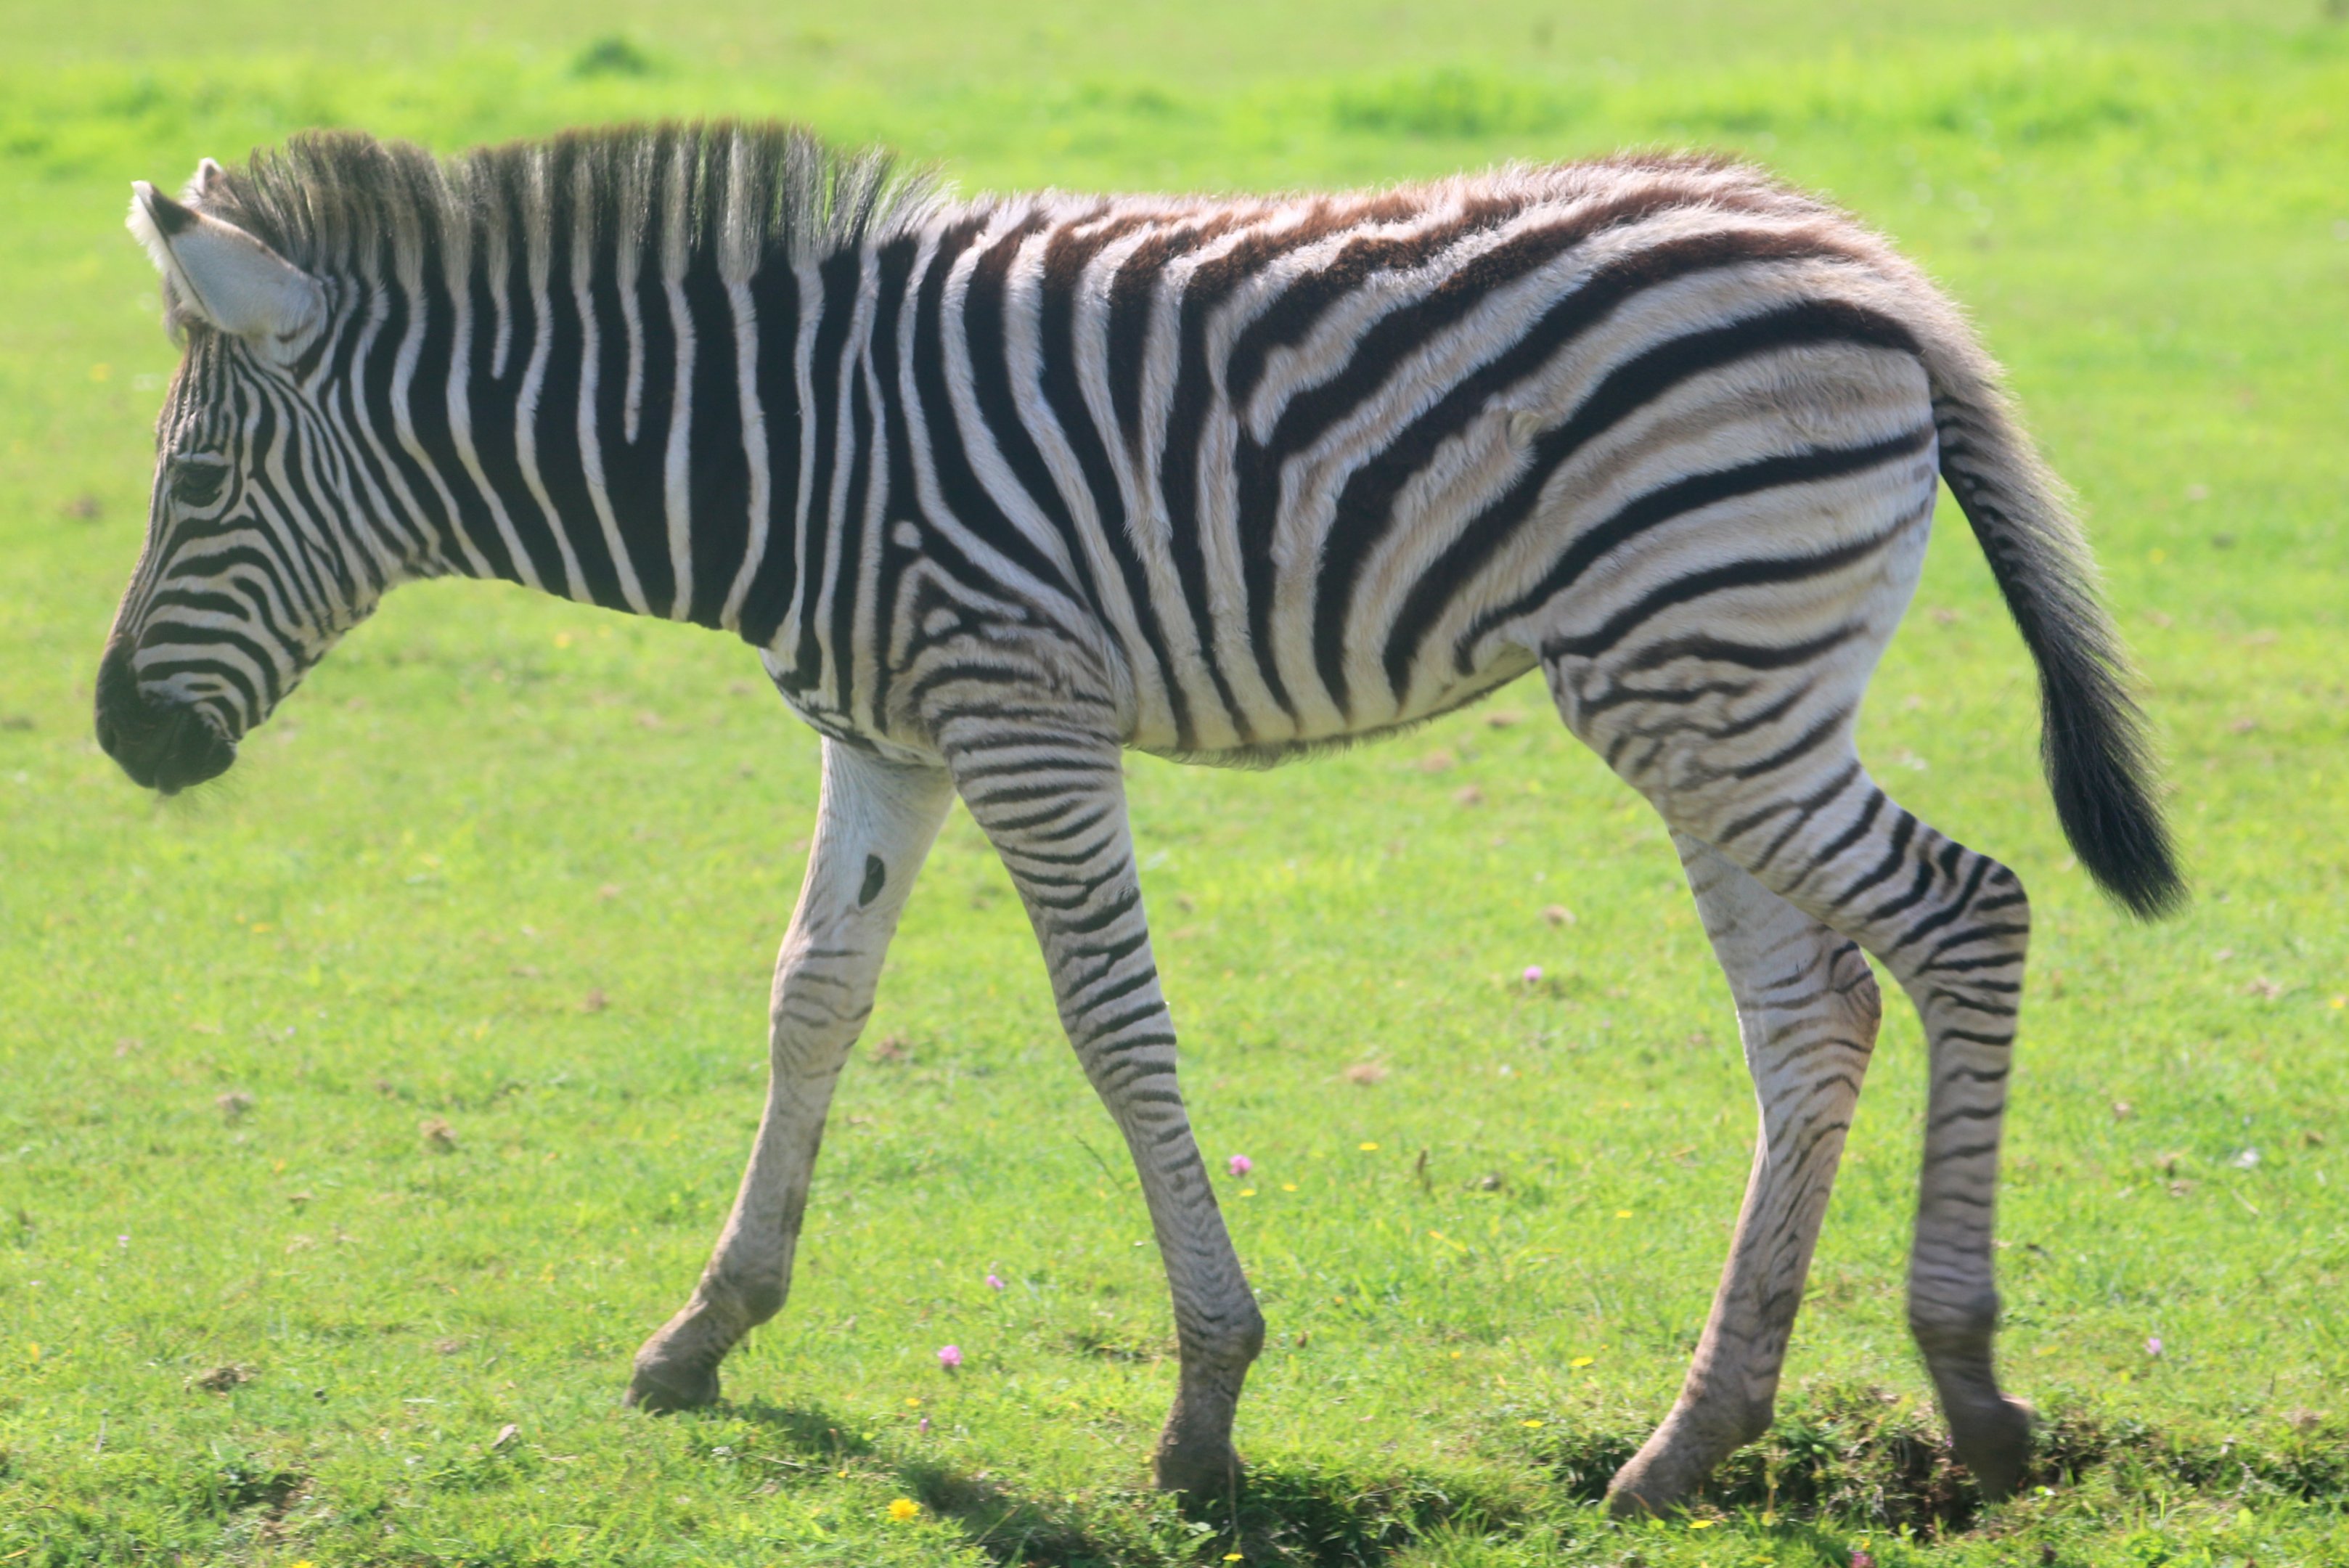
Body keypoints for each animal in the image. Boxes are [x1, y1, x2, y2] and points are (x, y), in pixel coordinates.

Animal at [100, 123, 2181, 1514]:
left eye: (193, 489)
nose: (119, 738)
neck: (777, 450)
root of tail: (1862, 261)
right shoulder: (887, 739)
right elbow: (810, 998)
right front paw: (708, 1330)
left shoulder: (1023, 712)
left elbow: (1112, 1028)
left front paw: (1206, 1405)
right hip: (1712, 687)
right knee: (1812, 1012)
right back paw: (1694, 1436)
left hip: (1707, 669)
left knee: (1969, 914)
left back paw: (1970, 1393)